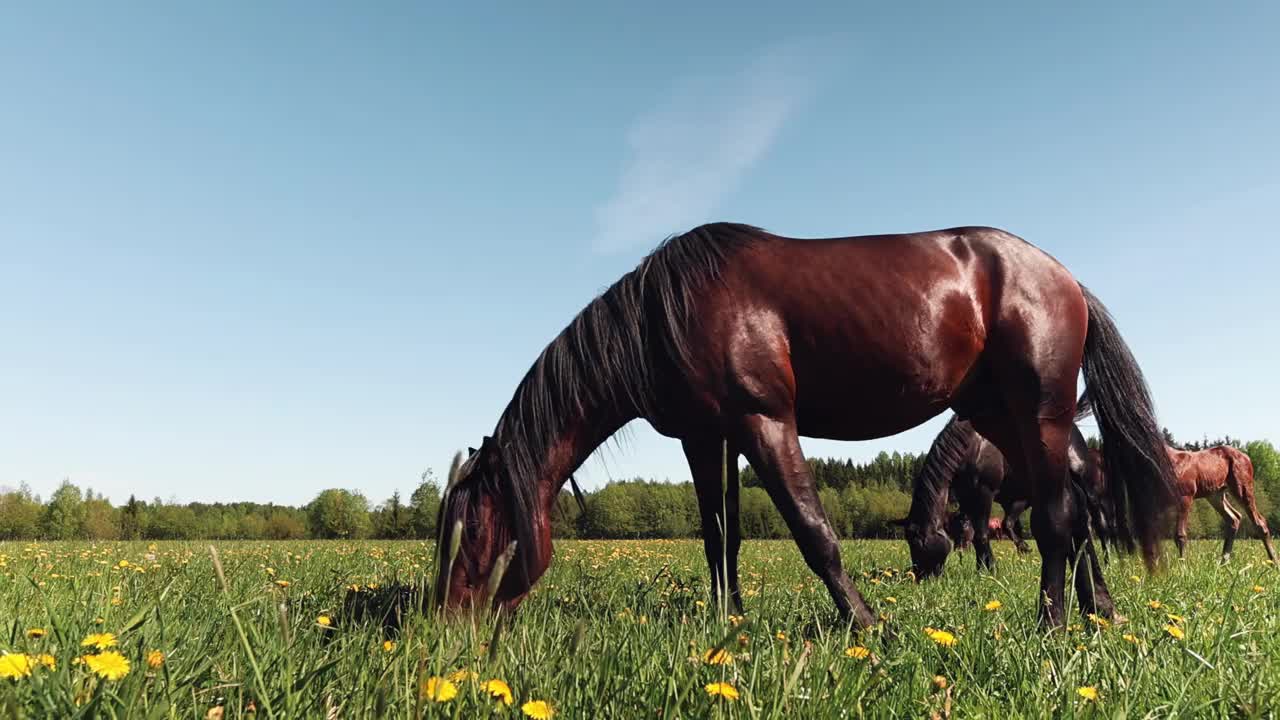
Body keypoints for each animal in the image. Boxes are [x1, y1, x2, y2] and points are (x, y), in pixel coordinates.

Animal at [435, 221, 1172, 625]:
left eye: (475, 527)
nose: (445, 620)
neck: (662, 315)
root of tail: (1063, 277)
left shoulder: (764, 422)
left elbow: (814, 533)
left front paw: (869, 626)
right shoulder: (709, 438)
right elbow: (720, 537)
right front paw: (726, 624)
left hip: (1037, 409)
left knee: (1057, 517)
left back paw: (1051, 628)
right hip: (999, 414)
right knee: (1073, 509)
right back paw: (1100, 610)